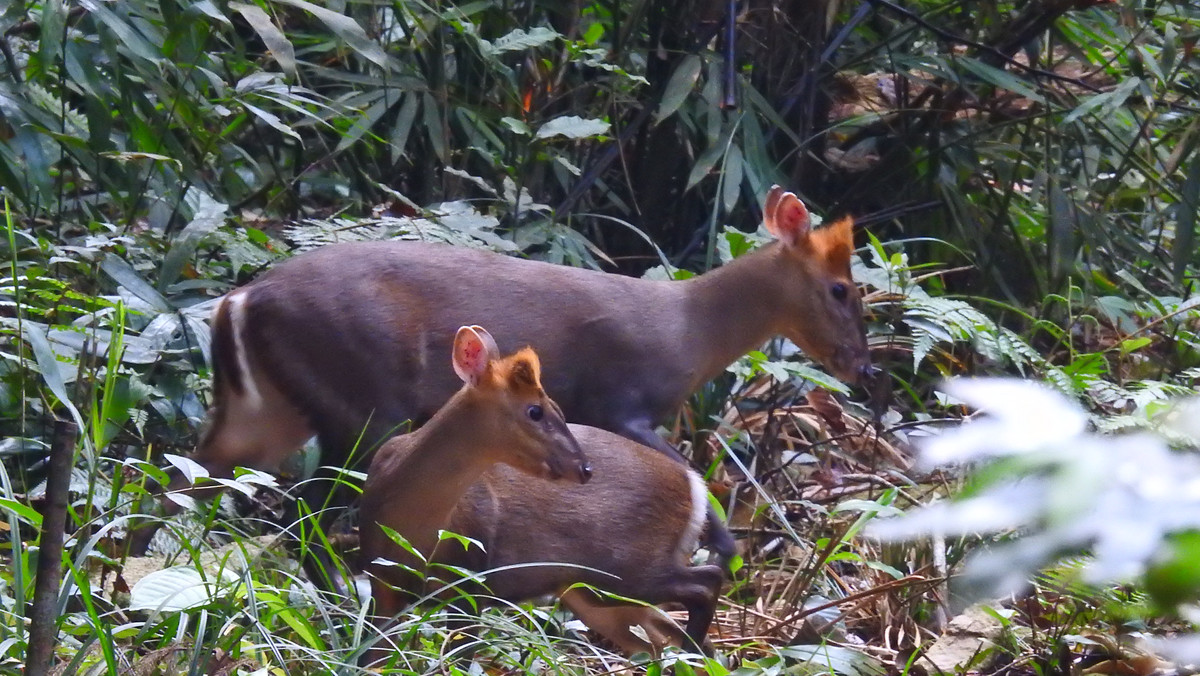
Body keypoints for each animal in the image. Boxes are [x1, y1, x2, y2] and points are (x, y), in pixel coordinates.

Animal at [196, 183, 873, 561]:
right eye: (841, 288)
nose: (862, 365)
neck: (686, 330)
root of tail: (240, 300)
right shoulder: (618, 402)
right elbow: (691, 479)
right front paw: (725, 558)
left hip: (271, 411)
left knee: (203, 473)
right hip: (361, 404)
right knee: (307, 506)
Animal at [360, 324, 724, 657]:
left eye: (559, 410)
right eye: (535, 410)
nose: (584, 468)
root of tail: (694, 483)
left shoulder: (472, 577)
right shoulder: (380, 579)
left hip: (627, 568)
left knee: (707, 582)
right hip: (595, 593)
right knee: (658, 638)